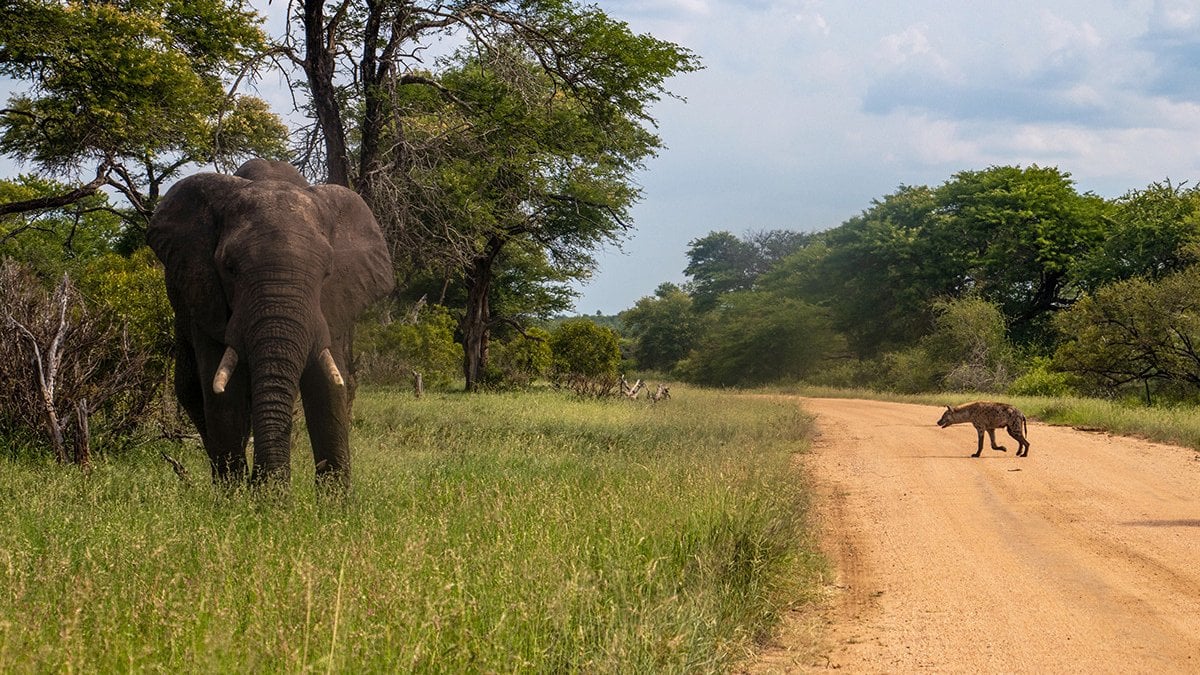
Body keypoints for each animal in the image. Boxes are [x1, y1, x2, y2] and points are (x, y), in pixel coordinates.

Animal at [148, 157, 393, 482]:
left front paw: (334, 496)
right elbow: (223, 396)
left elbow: (328, 387)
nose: (266, 484)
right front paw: (237, 494)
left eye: (327, 272)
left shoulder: (334, 303)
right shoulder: (206, 296)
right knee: (192, 392)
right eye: (229, 268)